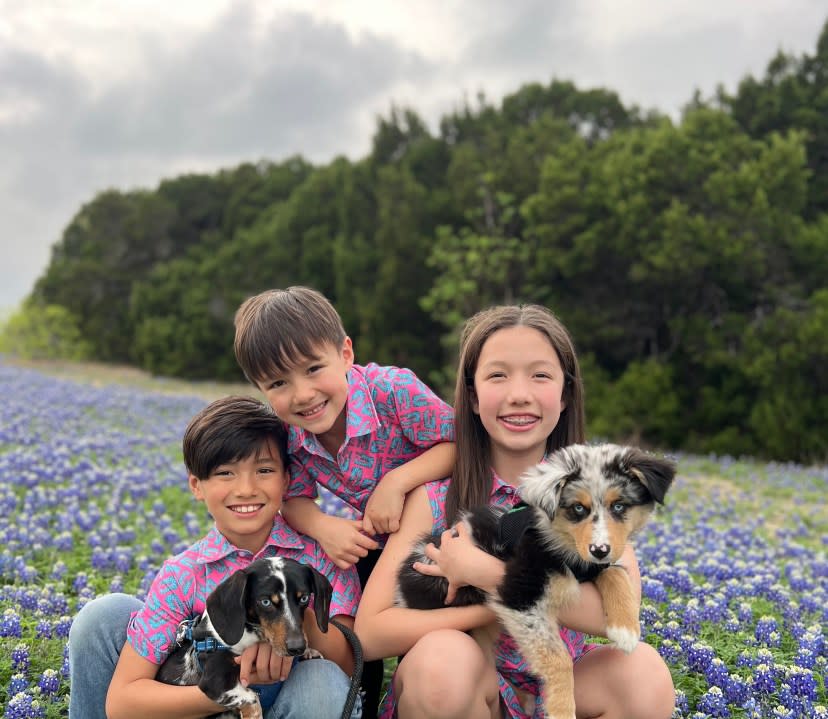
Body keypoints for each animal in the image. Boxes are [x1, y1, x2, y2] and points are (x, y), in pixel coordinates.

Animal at [157, 556, 332, 719]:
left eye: (304, 598)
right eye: (265, 602)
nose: (297, 648)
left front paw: (309, 652)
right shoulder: (214, 680)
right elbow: (252, 696)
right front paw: (254, 714)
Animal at [394, 444, 672, 719]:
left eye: (619, 506)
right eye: (578, 508)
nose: (600, 550)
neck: (562, 540)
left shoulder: (592, 565)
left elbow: (617, 574)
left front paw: (626, 629)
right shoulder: (521, 592)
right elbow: (558, 657)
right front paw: (561, 710)